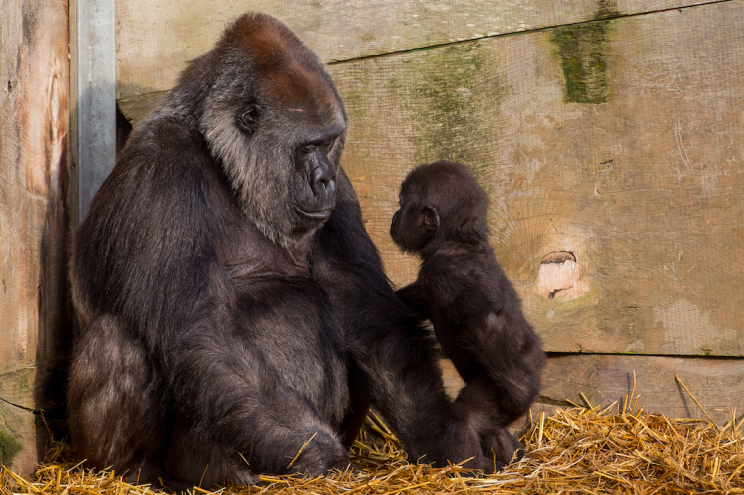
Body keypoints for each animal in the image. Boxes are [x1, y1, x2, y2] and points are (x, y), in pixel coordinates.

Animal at [67, 12, 494, 492]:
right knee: (117, 339)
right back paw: (135, 471)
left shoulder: (341, 192)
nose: (324, 179)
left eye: (328, 142)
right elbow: (200, 331)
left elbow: (369, 314)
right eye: (307, 147)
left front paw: (443, 436)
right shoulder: (158, 175)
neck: (220, 158)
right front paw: (314, 455)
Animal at [390, 162, 548, 468]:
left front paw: (519, 393)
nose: (394, 217)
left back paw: (465, 470)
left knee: (467, 416)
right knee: (491, 428)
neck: (455, 239)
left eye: (402, 204)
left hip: (504, 379)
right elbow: (417, 298)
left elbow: (483, 323)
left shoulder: (447, 273)